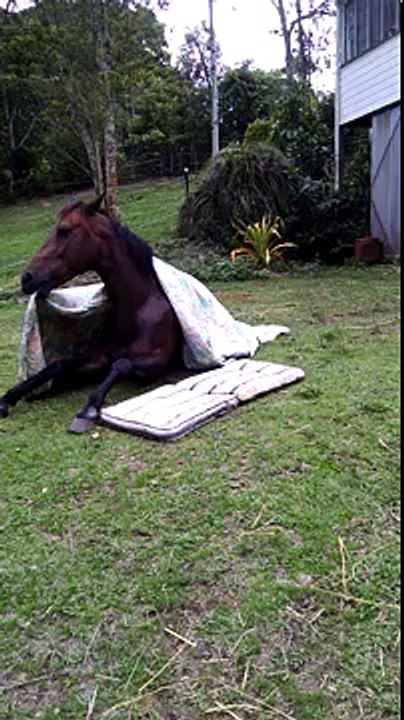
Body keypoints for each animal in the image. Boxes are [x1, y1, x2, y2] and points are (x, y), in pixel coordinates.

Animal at [0, 196, 183, 432]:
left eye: (64, 230)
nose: (26, 278)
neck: (137, 309)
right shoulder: (98, 356)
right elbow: (57, 365)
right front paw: (8, 398)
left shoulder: (157, 363)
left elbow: (121, 364)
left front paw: (89, 409)